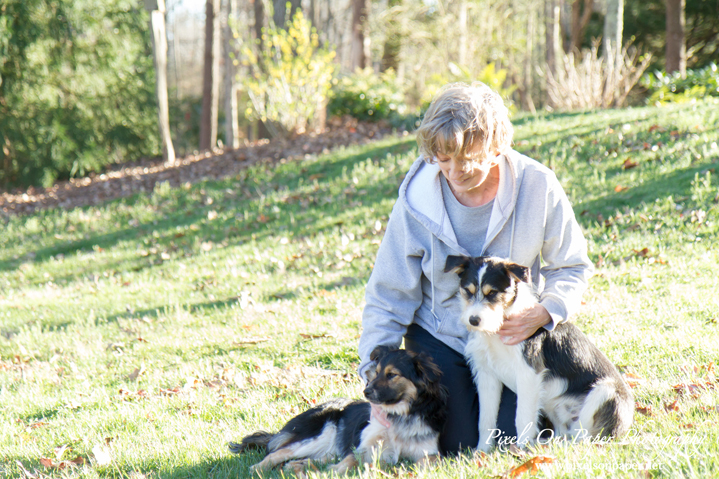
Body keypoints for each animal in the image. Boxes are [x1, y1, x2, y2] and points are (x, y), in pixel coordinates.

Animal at [231, 346, 448, 474]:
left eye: (392, 374)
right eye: (376, 373)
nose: (366, 391)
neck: (399, 415)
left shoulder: (427, 451)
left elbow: (427, 461)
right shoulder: (364, 447)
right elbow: (350, 459)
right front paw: (333, 472)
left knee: (320, 457)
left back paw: (299, 466)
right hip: (320, 434)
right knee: (278, 452)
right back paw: (259, 468)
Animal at [448, 256, 632, 452]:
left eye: (492, 293)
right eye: (467, 291)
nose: (474, 320)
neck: (498, 327)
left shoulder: (529, 373)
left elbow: (522, 417)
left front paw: (521, 450)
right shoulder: (487, 376)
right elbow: (485, 419)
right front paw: (482, 450)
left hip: (605, 390)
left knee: (584, 437)